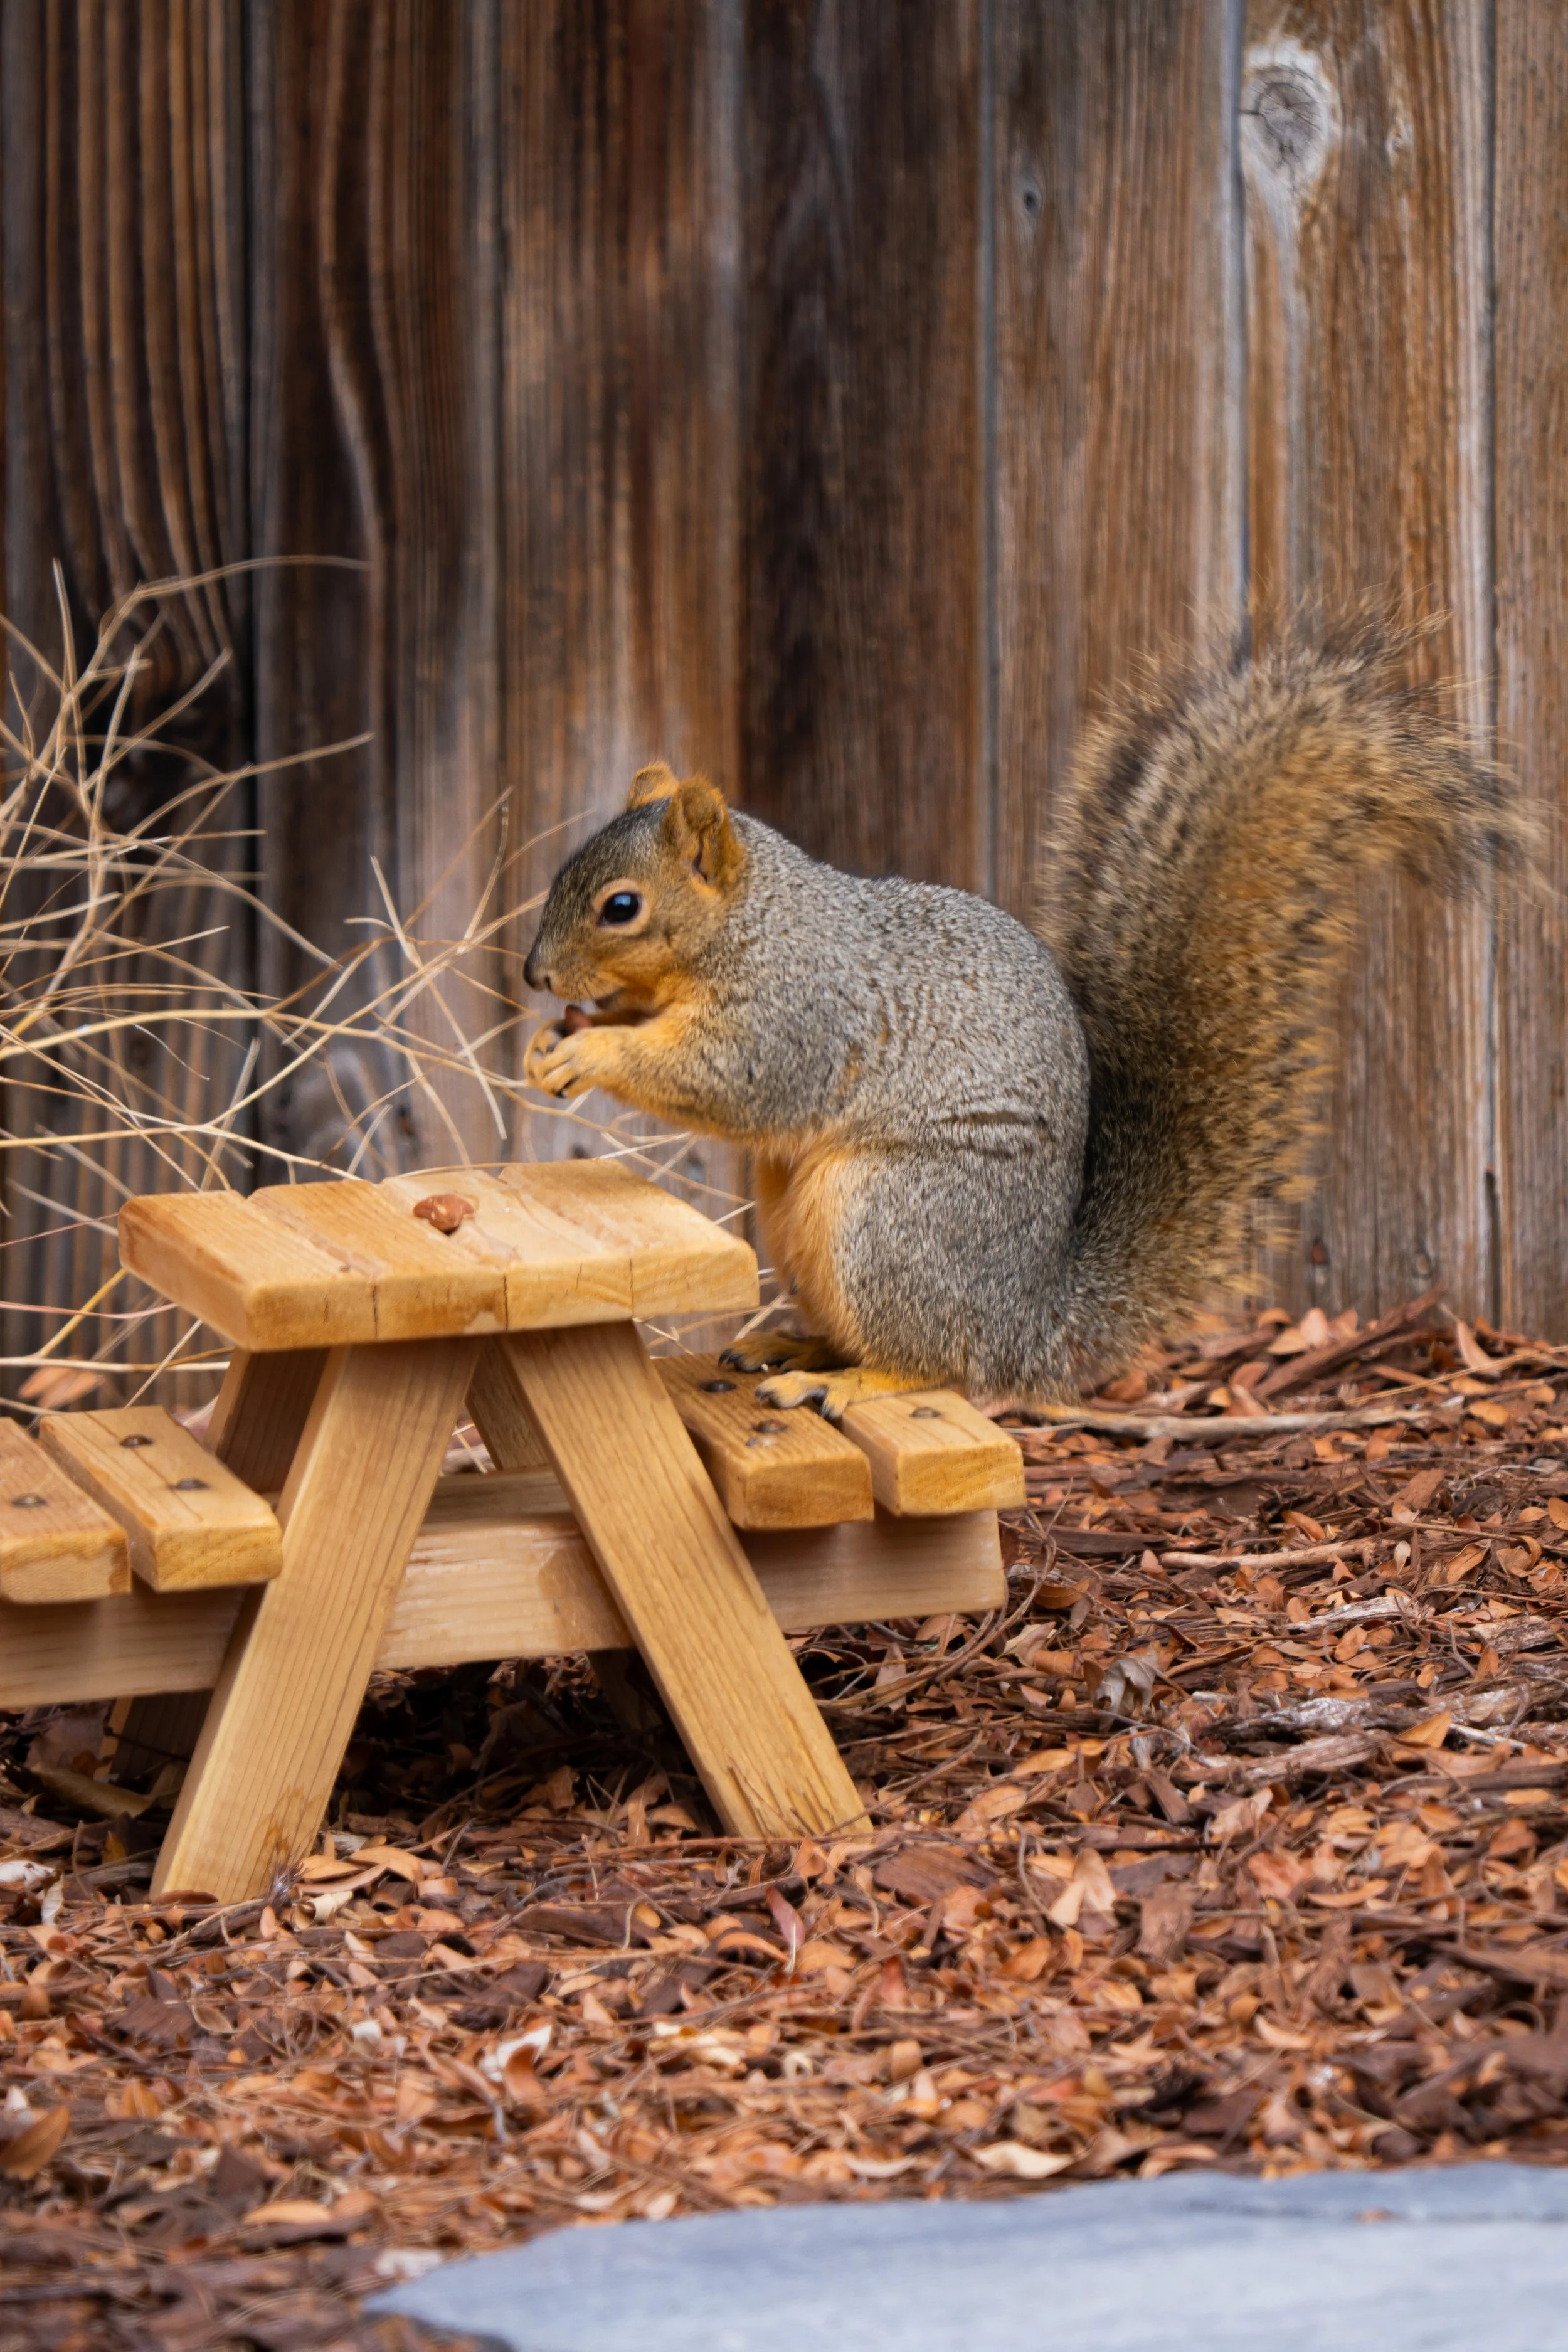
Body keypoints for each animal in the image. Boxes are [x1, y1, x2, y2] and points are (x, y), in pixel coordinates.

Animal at [521, 625, 1515, 1419]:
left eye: (620, 906)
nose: (534, 974)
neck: (749, 924)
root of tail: (1028, 1327)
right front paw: (552, 1038)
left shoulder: (797, 1012)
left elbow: (727, 1081)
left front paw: (591, 1052)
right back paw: (798, 1345)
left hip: (890, 1218)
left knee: (934, 1360)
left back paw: (844, 1382)